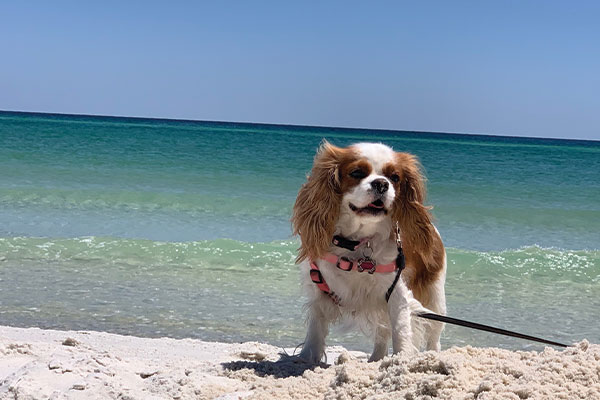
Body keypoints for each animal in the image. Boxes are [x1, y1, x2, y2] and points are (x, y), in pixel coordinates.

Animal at [290, 141, 446, 362]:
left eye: (395, 177)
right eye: (357, 172)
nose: (381, 183)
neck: (356, 243)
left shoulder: (396, 292)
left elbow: (400, 329)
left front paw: (401, 358)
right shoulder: (318, 292)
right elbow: (315, 330)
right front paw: (306, 359)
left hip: (435, 297)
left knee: (434, 335)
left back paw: (433, 355)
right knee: (382, 333)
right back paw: (376, 359)